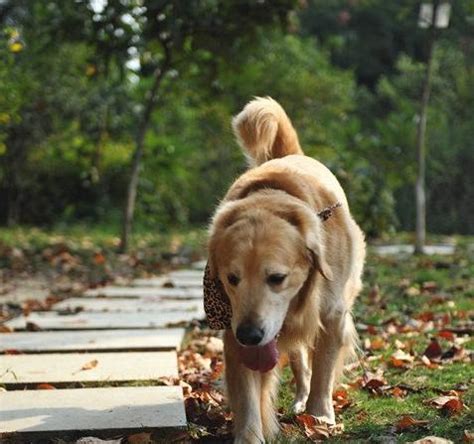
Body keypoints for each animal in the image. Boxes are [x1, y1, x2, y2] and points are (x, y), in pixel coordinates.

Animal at [207, 98, 366, 444]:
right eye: (232, 279)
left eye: (277, 278)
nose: (250, 335)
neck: (272, 198)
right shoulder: (233, 329)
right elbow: (248, 396)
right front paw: (249, 435)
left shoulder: (332, 315)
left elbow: (323, 371)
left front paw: (320, 415)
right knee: (299, 363)